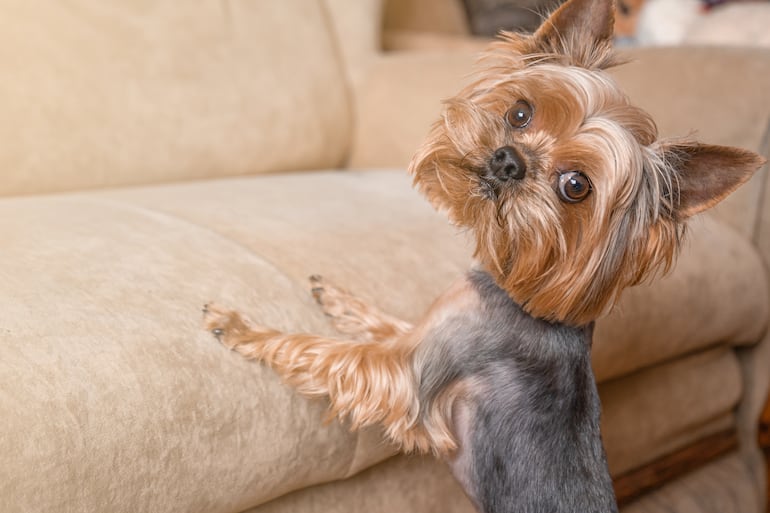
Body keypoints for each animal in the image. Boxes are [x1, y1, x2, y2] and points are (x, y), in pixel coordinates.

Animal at [204, 0, 760, 510]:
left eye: (576, 186)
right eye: (520, 112)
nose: (508, 160)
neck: (516, 292)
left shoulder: (407, 376)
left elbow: (321, 350)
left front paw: (241, 327)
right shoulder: (427, 331)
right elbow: (384, 322)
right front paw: (337, 297)